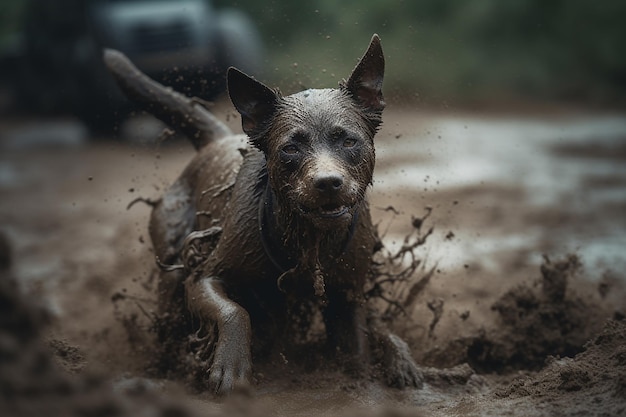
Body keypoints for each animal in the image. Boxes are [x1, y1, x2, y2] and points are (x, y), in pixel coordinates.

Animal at [105, 34, 422, 392]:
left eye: (348, 141)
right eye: (290, 148)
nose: (328, 182)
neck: (306, 240)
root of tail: (215, 141)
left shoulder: (349, 296)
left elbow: (357, 349)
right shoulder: (204, 277)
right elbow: (233, 312)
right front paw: (231, 367)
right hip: (172, 258)